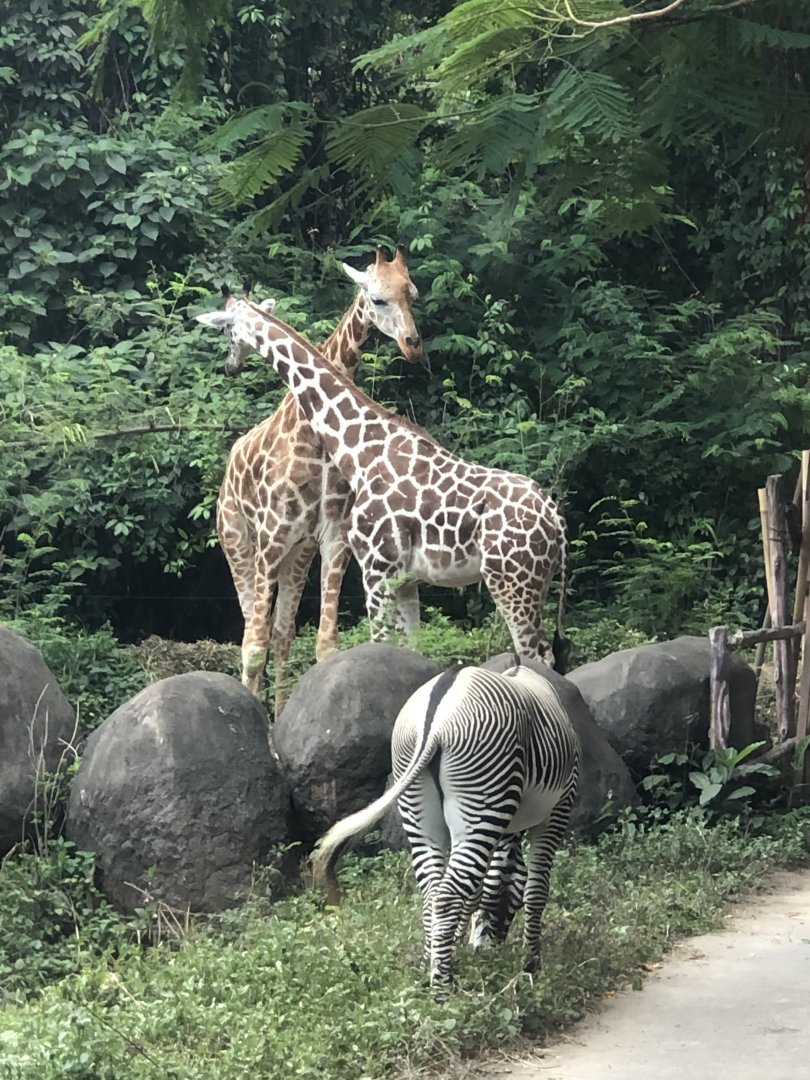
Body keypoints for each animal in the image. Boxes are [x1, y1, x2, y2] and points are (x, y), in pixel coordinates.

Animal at [195, 247, 422, 714]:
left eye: (412, 294)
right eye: (376, 298)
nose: (413, 345)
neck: (310, 436)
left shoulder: (333, 537)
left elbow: (322, 642)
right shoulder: (270, 536)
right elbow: (253, 646)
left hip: (297, 556)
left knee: (282, 633)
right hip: (237, 543)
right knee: (252, 629)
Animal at [196, 301, 570, 672]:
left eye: (226, 328)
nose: (230, 365)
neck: (357, 450)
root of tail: (555, 517)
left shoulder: (376, 568)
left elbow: (379, 641)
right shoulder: (406, 579)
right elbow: (412, 650)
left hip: (511, 581)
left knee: (534, 655)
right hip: (537, 583)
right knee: (549, 655)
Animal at [312, 660, 580, 987]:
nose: (493, 947)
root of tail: (437, 714)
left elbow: (479, 888)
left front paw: (463, 947)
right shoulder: (557, 809)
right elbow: (535, 888)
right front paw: (532, 966)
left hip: (421, 799)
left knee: (433, 891)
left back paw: (431, 967)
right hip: (482, 788)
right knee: (447, 895)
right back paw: (443, 986)